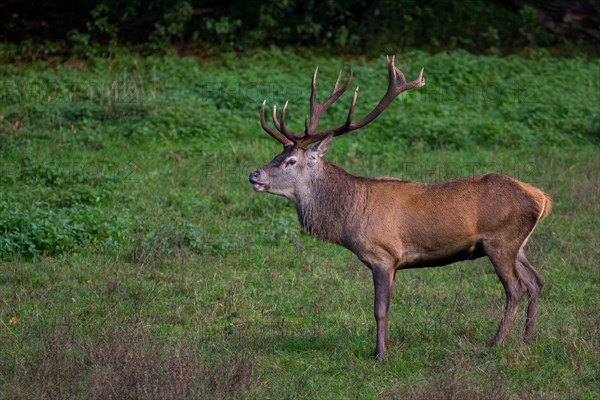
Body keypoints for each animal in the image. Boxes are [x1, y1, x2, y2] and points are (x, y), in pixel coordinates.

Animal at [248, 55, 552, 360]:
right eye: (276, 155)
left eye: (290, 162)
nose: (254, 175)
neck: (349, 216)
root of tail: (541, 198)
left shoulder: (384, 255)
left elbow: (380, 310)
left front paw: (380, 355)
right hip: (518, 245)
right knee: (536, 281)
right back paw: (527, 339)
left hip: (500, 241)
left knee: (515, 288)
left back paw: (496, 343)